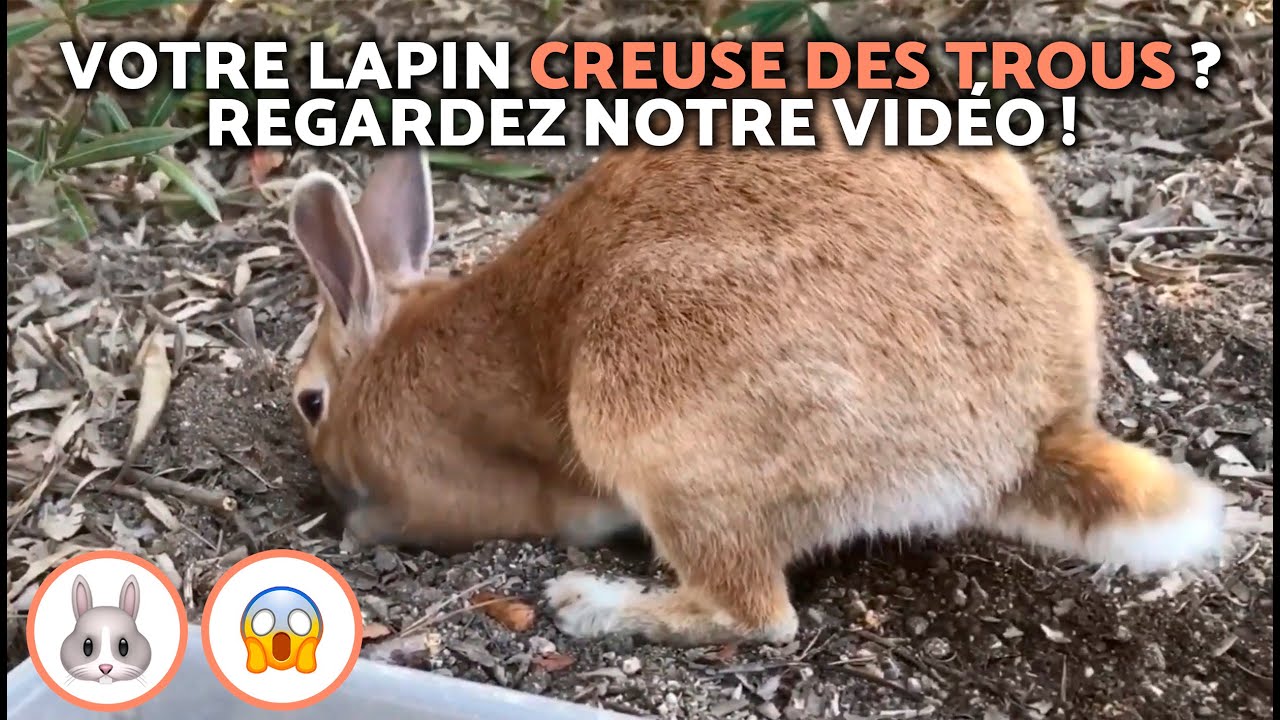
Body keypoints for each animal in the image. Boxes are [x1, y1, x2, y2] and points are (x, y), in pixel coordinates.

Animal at [285, 103, 1228, 647]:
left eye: (309, 402)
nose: (325, 493)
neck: (391, 350)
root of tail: (1032, 433)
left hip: (649, 410)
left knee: (755, 612)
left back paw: (592, 605)